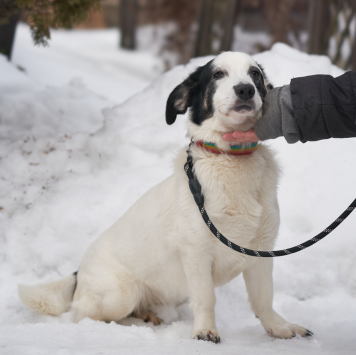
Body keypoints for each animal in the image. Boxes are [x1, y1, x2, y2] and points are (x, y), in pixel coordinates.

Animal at [18, 51, 312, 344]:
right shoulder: (196, 253)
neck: (231, 159)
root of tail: (78, 271)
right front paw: (205, 331)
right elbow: (207, 299)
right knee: (85, 315)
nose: (245, 89)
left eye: (255, 74)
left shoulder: (260, 252)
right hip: (120, 295)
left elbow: (264, 300)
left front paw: (280, 327)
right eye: (218, 74)